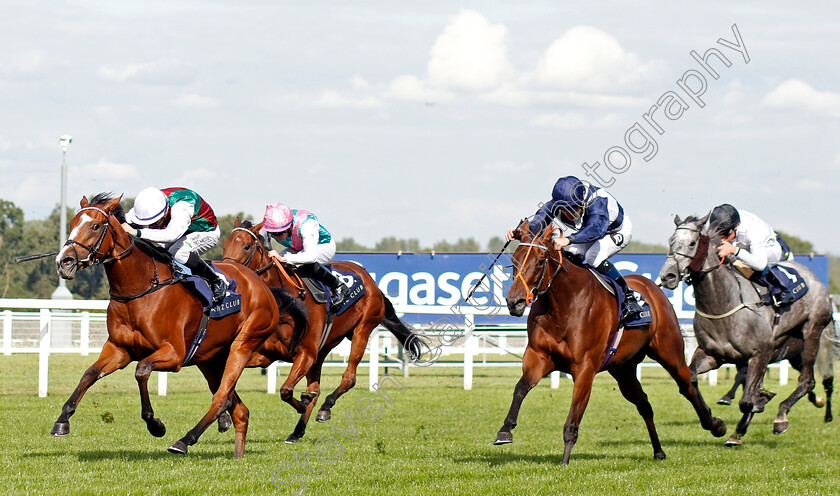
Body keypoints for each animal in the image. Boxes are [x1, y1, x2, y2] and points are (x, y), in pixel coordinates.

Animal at [52, 194, 302, 458]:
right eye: (71, 223)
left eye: (96, 225)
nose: (64, 261)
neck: (140, 289)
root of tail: (264, 286)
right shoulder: (119, 350)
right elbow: (89, 374)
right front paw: (62, 421)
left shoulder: (175, 354)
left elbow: (141, 370)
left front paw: (155, 424)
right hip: (210, 358)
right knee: (238, 408)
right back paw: (236, 451)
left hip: (244, 343)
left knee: (221, 397)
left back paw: (184, 440)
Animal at [221, 219, 424, 444]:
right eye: (224, 245)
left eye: (247, 246)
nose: (229, 272)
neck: (289, 300)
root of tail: (371, 282)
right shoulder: (265, 355)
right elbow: (229, 378)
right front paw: (223, 416)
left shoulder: (306, 354)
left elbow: (286, 390)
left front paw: (302, 403)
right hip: (324, 349)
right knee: (316, 389)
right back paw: (297, 432)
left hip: (362, 330)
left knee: (348, 378)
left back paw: (325, 408)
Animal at [496, 222, 724, 464]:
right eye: (514, 261)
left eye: (540, 261)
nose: (514, 301)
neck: (562, 307)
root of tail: (652, 287)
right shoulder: (538, 357)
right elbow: (520, 388)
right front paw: (505, 431)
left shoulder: (585, 368)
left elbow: (573, 420)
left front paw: (565, 462)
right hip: (623, 369)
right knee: (644, 404)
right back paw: (658, 451)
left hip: (670, 353)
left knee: (687, 385)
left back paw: (715, 424)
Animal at [664, 215, 832, 448]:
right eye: (670, 241)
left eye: (691, 243)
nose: (667, 275)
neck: (723, 302)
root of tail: (816, 279)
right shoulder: (712, 354)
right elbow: (692, 379)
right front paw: (717, 424)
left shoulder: (760, 353)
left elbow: (747, 401)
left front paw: (759, 403)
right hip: (790, 351)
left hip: (812, 333)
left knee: (807, 381)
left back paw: (781, 416)